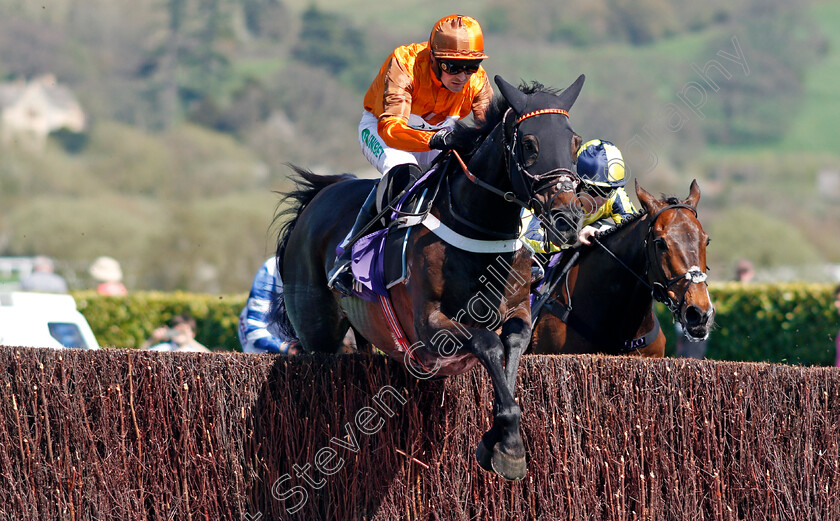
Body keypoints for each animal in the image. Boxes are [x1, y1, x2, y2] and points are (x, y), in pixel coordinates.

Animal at [274, 74, 584, 480]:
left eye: (574, 143)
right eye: (530, 144)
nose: (569, 219)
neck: (477, 226)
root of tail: (320, 194)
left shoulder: (519, 312)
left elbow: (512, 346)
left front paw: (502, 440)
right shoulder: (428, 325)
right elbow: (487, 342)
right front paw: (509, 448)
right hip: (319, 336)